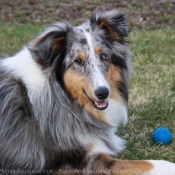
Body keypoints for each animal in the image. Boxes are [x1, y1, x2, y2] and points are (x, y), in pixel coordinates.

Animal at [0, 9, 175, 175]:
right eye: (78, 61)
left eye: (103, 56)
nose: (103, 93)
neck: (62, 98)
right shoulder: (77, 163)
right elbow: (146, 163)